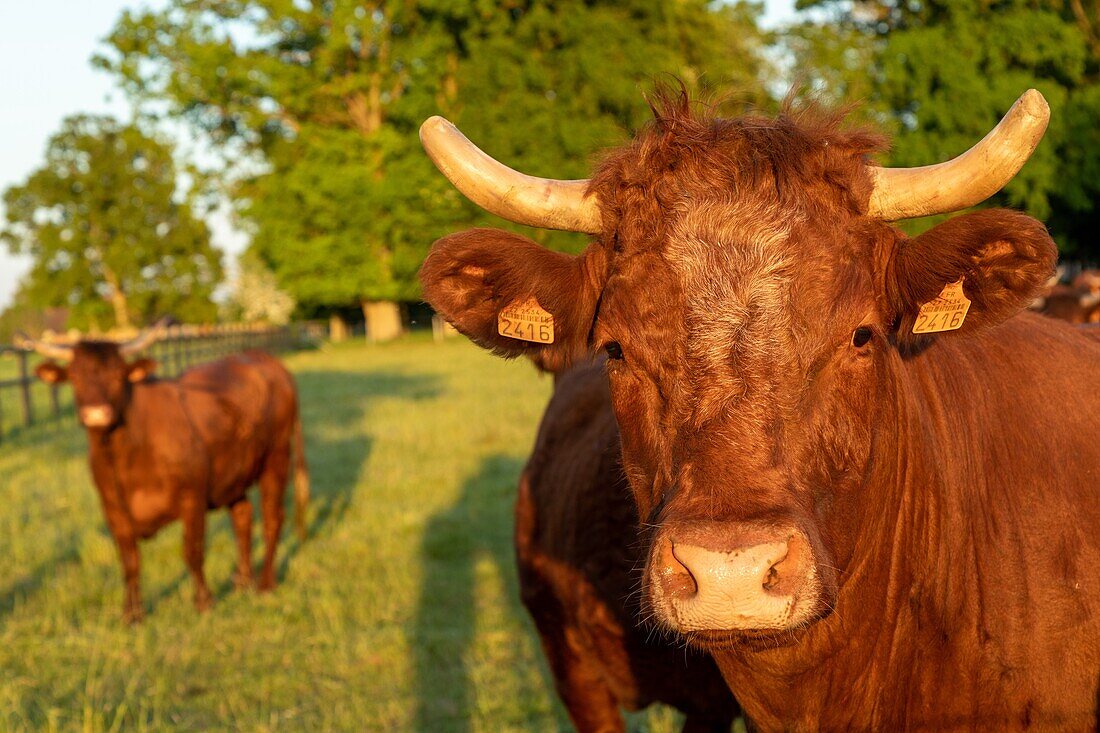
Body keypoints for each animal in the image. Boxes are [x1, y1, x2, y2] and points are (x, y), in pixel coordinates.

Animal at [18, 327, 310, 620]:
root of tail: (265, 360)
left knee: (273, 518)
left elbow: (192, 552)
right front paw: (132, 614)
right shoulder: (113, 509)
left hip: (276, 458)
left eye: (118, 375)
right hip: (233, 473)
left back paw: (265, 583)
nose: (96, 414)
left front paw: (204, 602)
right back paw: (242, 582)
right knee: (242, 518)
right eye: (75, 377)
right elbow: (130, 561)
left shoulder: (192, 498)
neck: (127, 459)